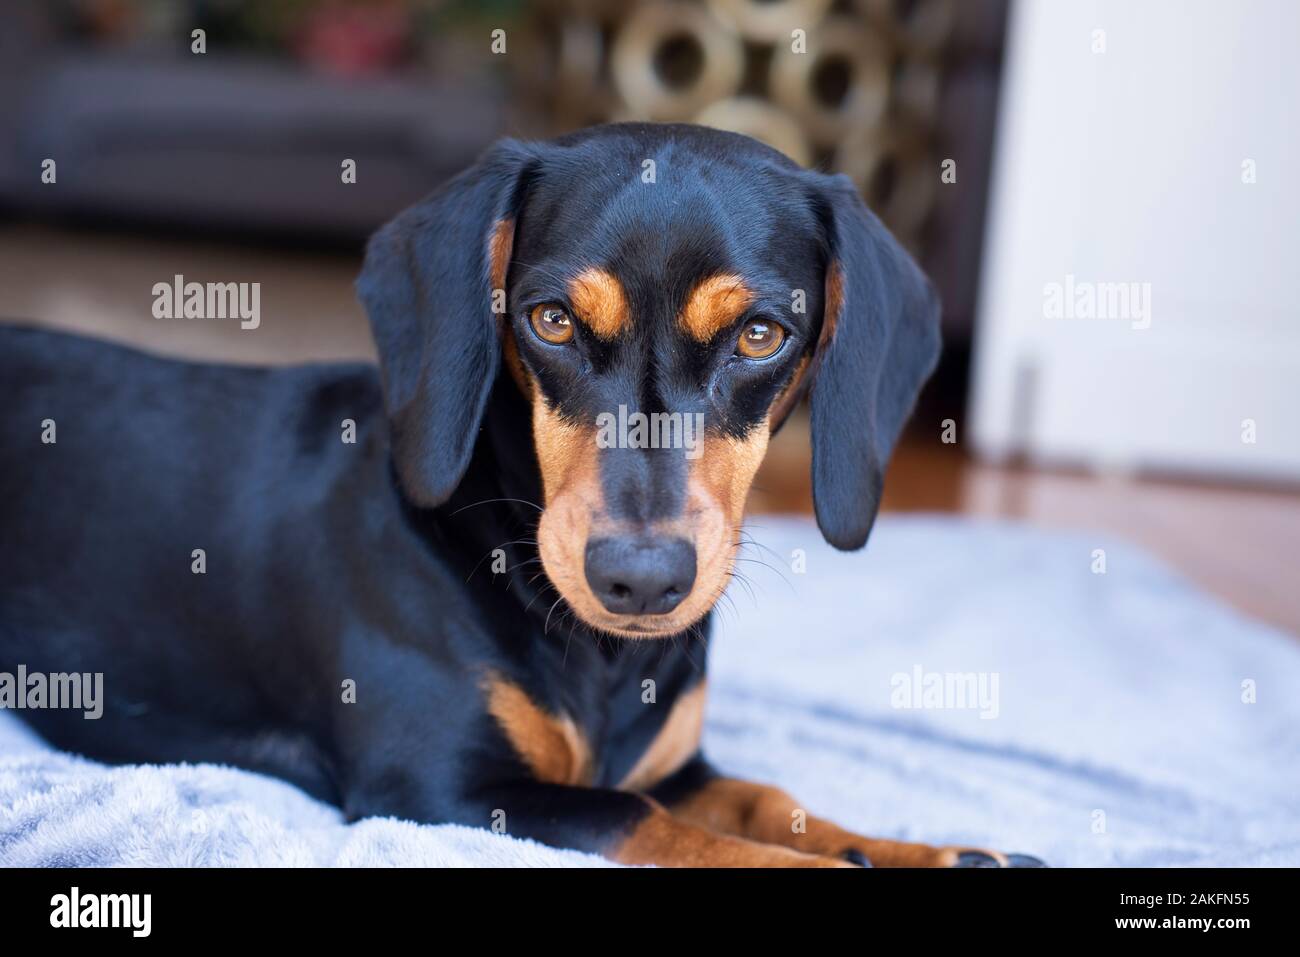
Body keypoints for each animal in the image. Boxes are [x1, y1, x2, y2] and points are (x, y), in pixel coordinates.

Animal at [0, 121, 1034, 868]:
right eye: (552, 320)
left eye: (760, 335)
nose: (639, 578)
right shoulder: (443, 787)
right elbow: (647, 815)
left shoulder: (685, 765)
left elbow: (766, 799)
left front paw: (931, 851)